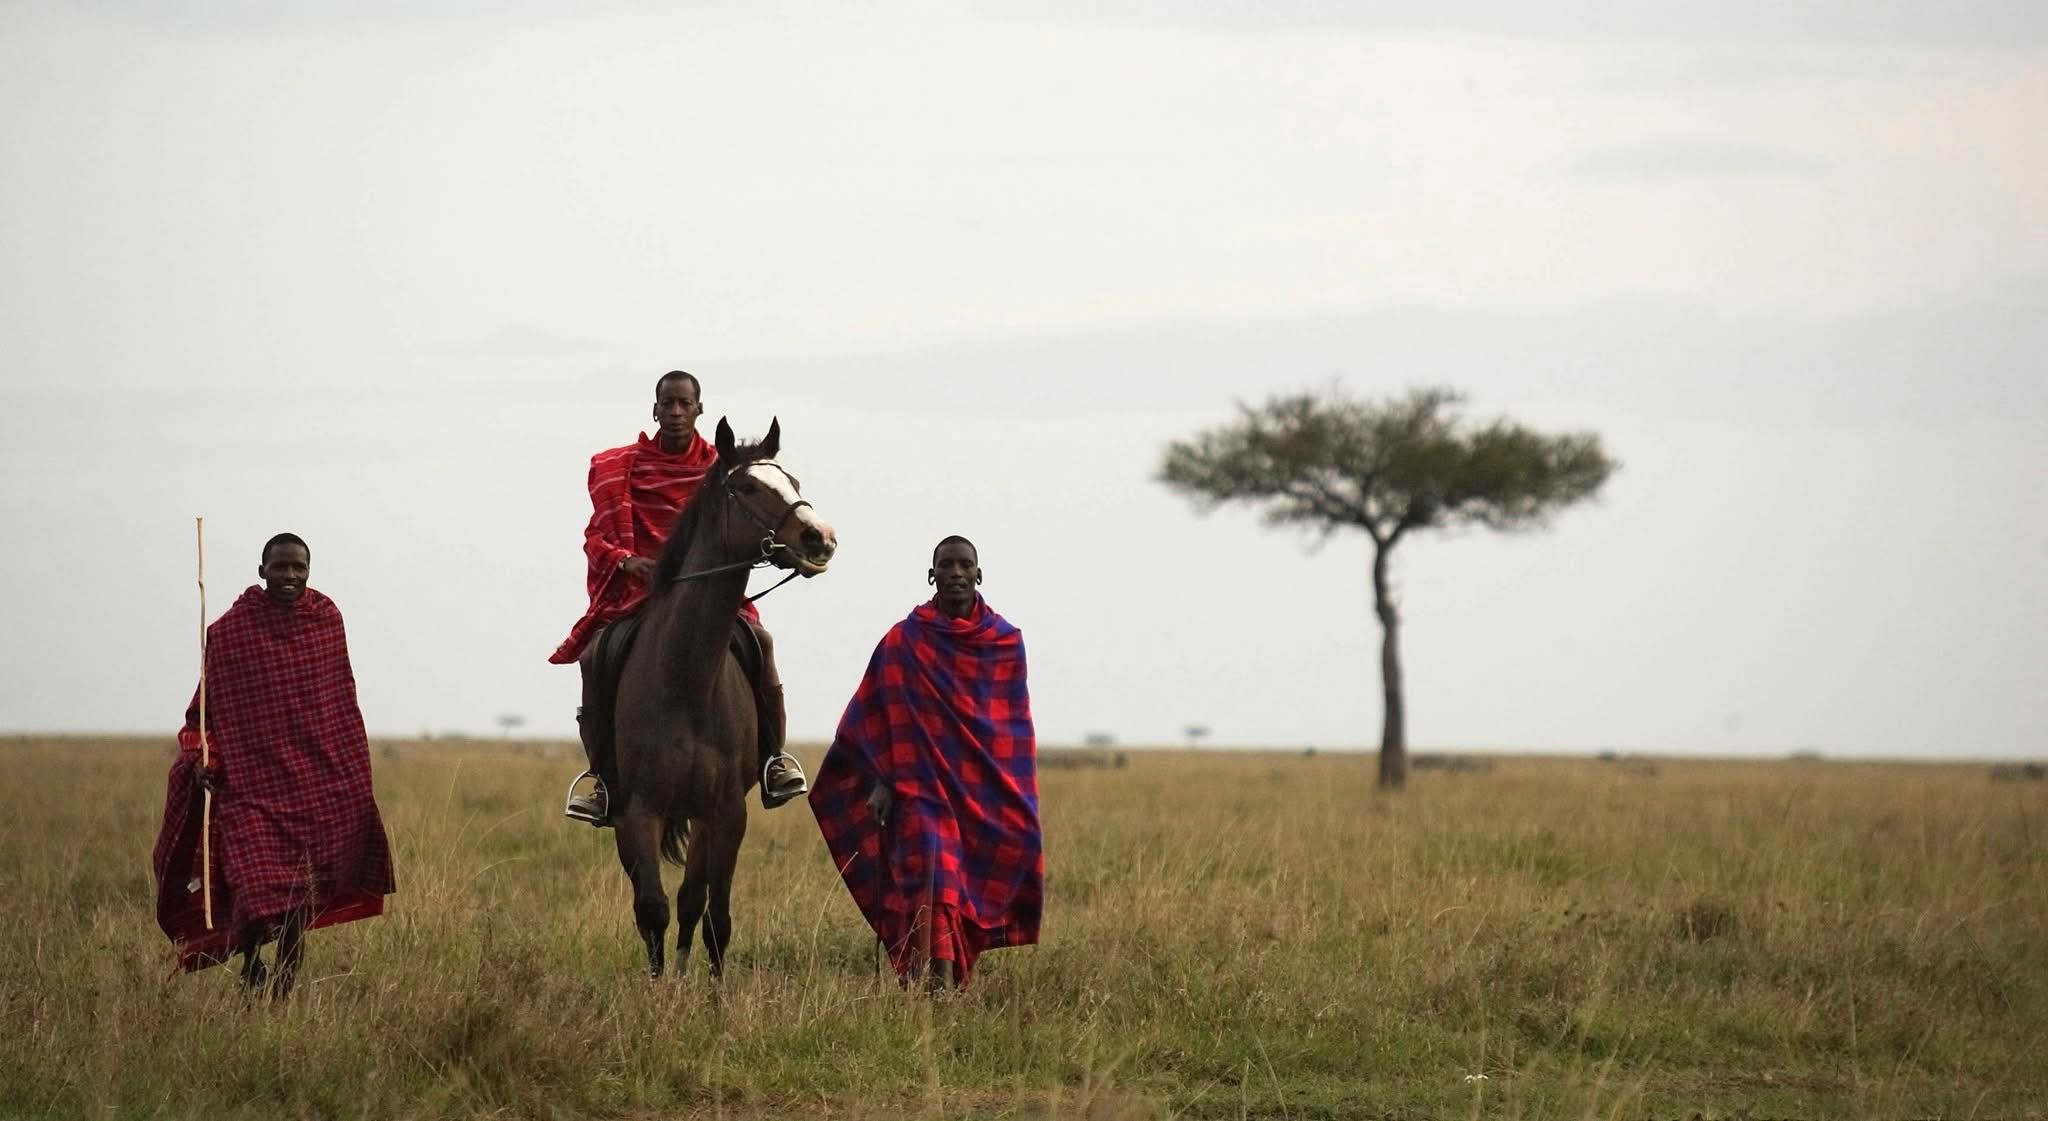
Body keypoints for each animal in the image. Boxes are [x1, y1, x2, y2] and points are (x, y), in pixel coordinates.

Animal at [607, 416, 837, 977]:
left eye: (793, 482)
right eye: (749, 488)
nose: (820, 538)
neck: (687, 676)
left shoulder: (728, 812)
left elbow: (715, 917)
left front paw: (708, 992)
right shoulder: (638, 811)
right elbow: (651, 908)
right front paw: (656, 987)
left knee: (693, 898)